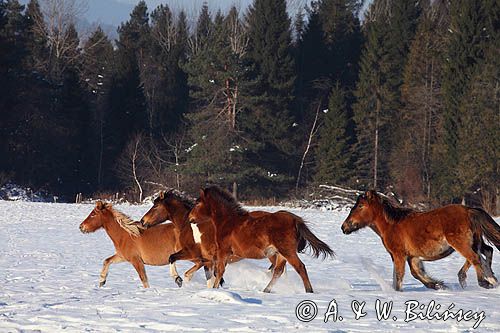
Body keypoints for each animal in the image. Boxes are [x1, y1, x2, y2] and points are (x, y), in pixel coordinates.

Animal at [139, 188, 276, 286]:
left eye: (155, 206)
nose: (142, 221)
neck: (188, 225)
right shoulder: (206, 260)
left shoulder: (194, 254)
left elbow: (172, 258)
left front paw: (177, 279)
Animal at [187, 185, 332, 292]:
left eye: (197, 203)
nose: (190, 218)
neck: (228, 222)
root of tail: (294, 220)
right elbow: (217, 271)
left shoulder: (224, 252)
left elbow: (219, 271)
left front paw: (215, 288)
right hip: (280, 254)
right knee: (278, 271)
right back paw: (266, 290)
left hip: (287, 251)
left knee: (300, 267)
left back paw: (309, 291)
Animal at [340, 191, 500, 290]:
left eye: (361, 206)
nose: (344, 227)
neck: (392, 224)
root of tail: (468, 210)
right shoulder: (412, 257)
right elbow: (416, 273)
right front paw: (438, 285)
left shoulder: (399, 255)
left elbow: (399, 277)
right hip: (474, 242)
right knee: (486, 252)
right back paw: (491, 279)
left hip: (460, 243)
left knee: (475, 258)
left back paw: (482, 281)